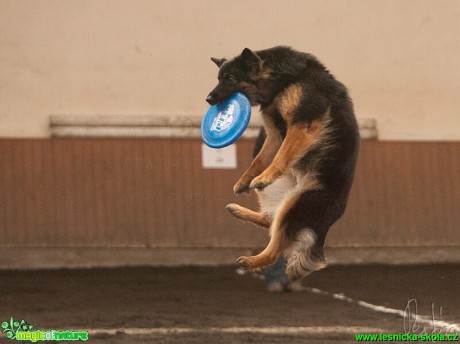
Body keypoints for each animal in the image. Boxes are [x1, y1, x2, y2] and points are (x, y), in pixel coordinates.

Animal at [207, 47, 362, 280]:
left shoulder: (302, 125)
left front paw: (265, 175)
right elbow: (258, 160)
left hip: (296, 204)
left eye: (230, 78)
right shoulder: (273, 134)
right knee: (270, 220)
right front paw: (245, 180)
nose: (208, 99)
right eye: (219, 78)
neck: (283, 81)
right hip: (280, 197)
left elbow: (282, 156)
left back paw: (253, 261)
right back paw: (237, 210)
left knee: (276, 244)